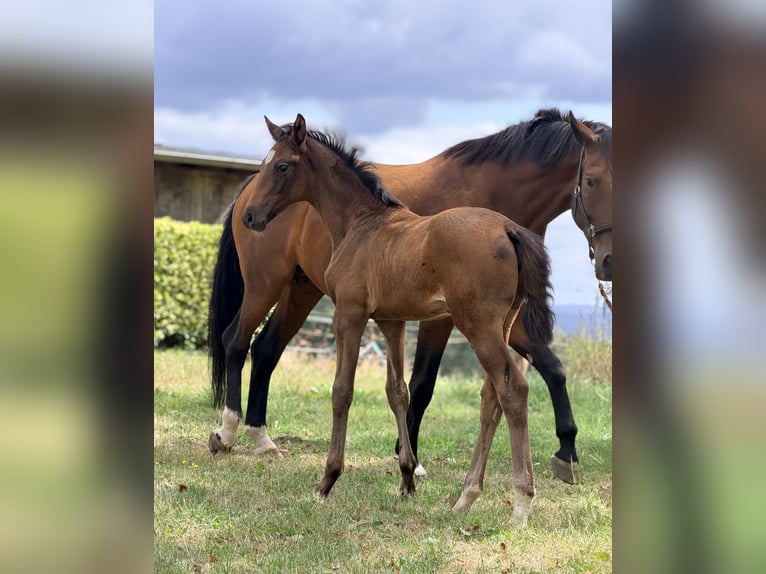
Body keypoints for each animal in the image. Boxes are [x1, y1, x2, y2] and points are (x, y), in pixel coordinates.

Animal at [208, 108, 612, 484]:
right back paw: (229, 432)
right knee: (237, 341)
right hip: (266, 284)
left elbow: (550, 367)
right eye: (592, 180)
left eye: (282, 166)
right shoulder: (433, 318)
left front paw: (566, 452)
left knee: (264, 349)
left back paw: (258, 438)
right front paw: (408, 457)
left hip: (301, 289)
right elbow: (416, 385)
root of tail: (244, 191)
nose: (608, 261)